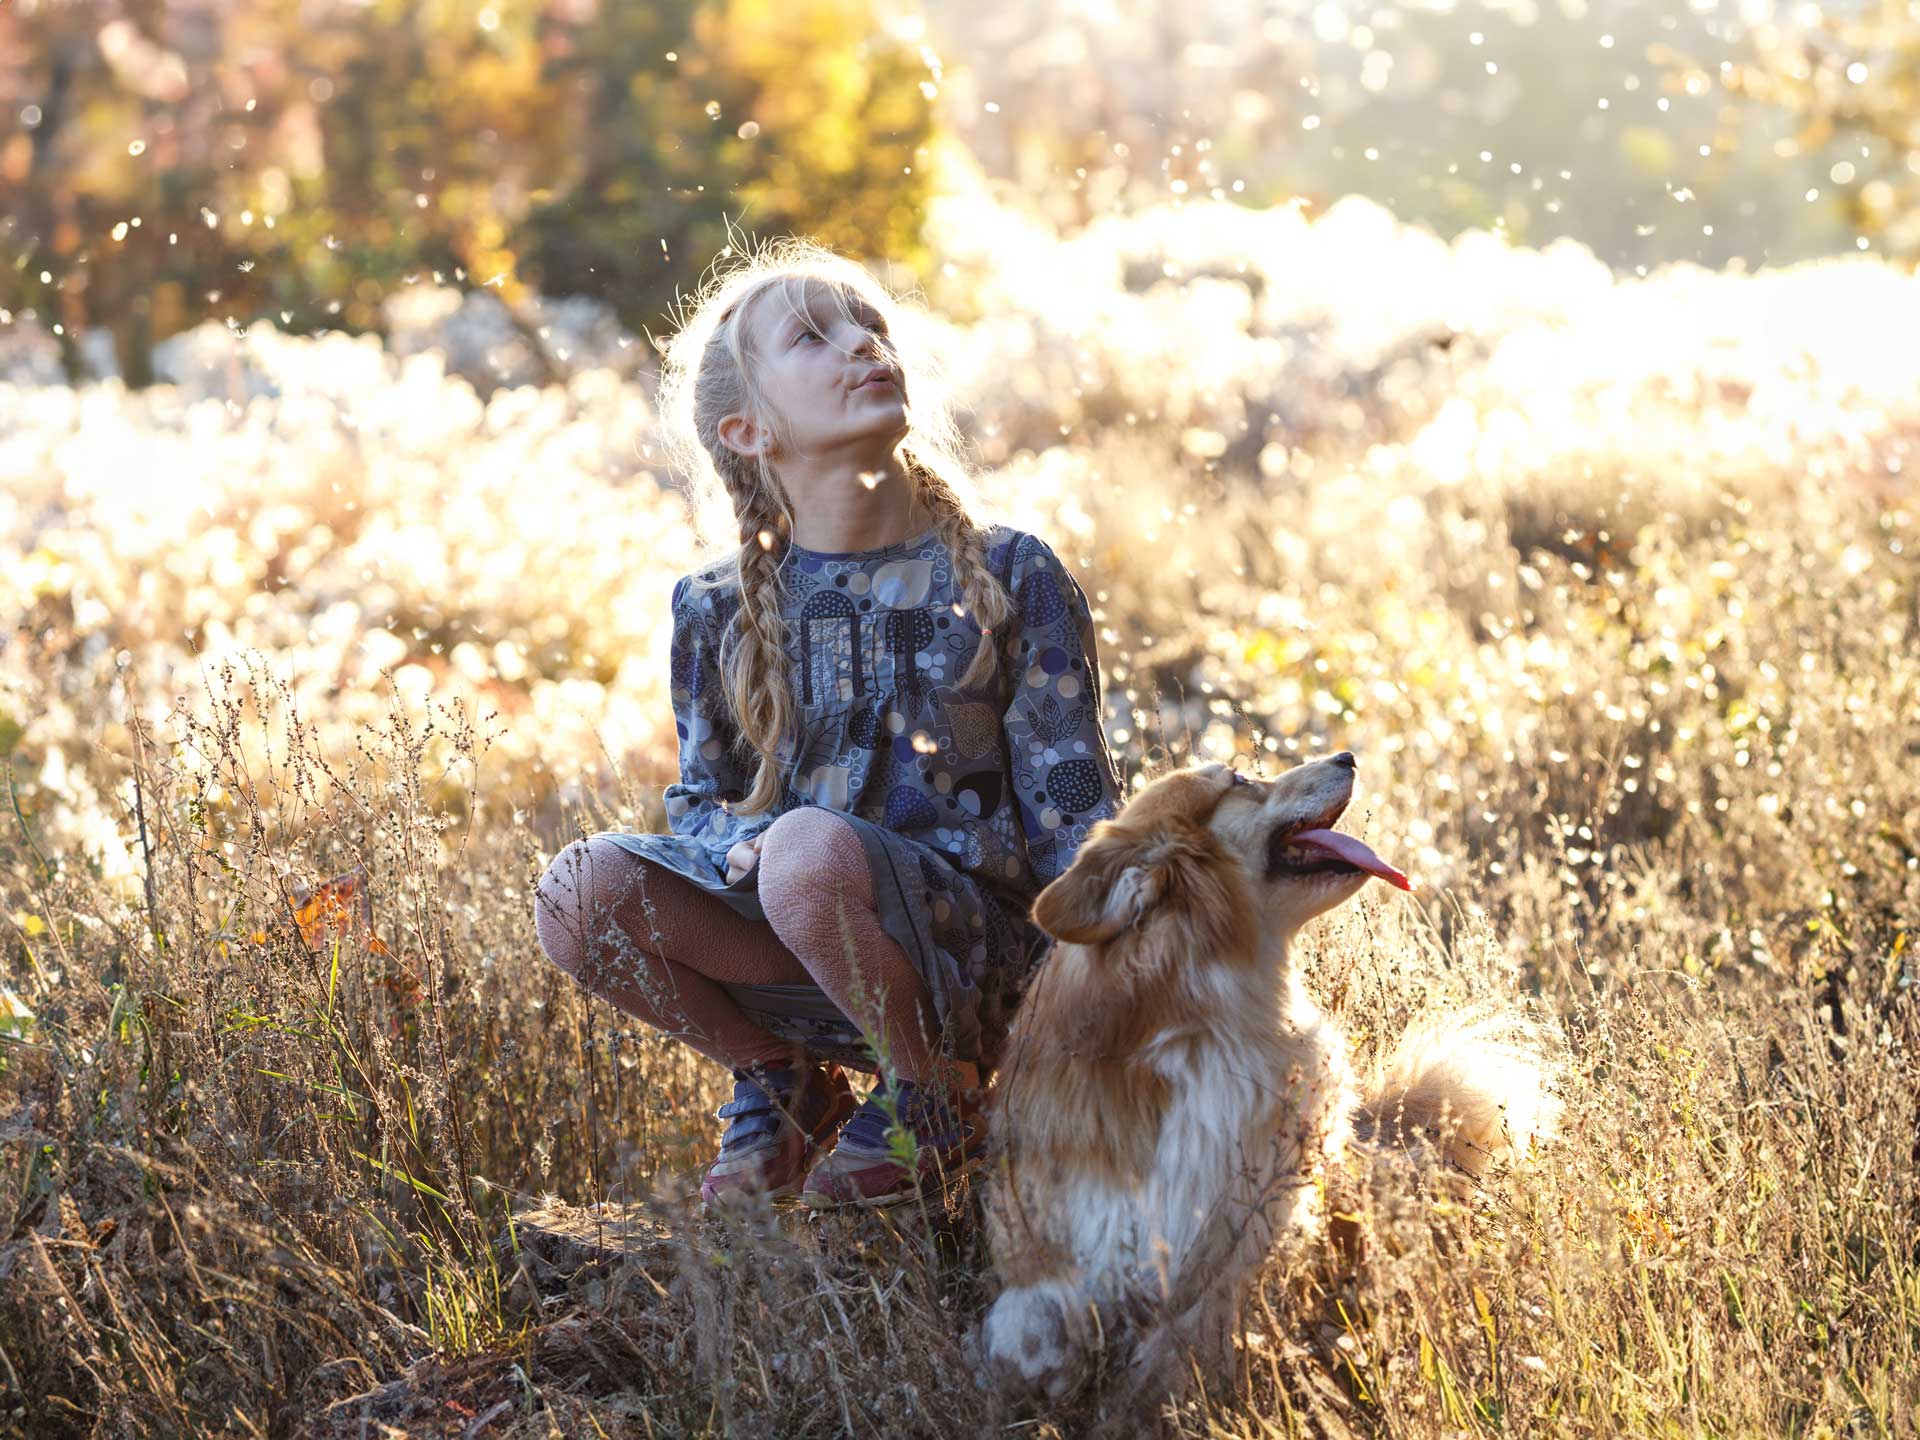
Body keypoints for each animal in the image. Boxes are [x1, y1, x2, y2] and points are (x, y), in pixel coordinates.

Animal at [975, 756, 1559, 1413]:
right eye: (1237, 780)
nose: (1348, 756)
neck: (1199, 1023)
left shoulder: (1252, 1231)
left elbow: (1187, 1342)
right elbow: (1035, 1330)